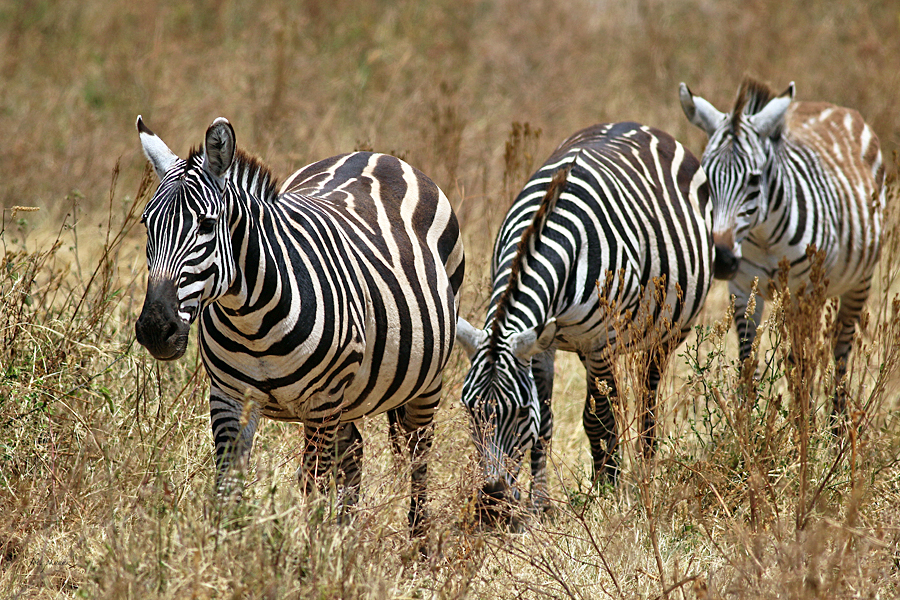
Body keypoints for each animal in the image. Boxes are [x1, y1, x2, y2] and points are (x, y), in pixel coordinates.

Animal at [133, 116, 465, 536]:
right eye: (146, 224)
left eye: (207, 225)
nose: (155, 329)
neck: (250, 320)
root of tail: (375, 154)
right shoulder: (229, 395)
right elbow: (227, 485)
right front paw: (227, 547)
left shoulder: (322, 401)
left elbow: (313, 482)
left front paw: (311, 549)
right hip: (348, 396)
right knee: (355, 451)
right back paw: (346, 535)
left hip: (422, 379)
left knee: (419, 453)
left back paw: (417, 542)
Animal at [455, 122, 714, 515]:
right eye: (471, 411)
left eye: (519, 413)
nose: (492, 502)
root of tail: (637, 125)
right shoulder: (541, 345)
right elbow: (546, 425)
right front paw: (541, 504)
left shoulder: (599, 343)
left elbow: (599, 421)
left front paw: (607, 493)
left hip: (667, 332)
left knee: (647, 399)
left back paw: (645, 470)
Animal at [679, 77, 884, 427]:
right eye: (705, 176)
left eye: (754, 179)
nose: (722, 259)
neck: (764, 237)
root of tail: (831, 106)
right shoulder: (743, 289)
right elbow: (749, 362)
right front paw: (745, 428)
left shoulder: (808, 291)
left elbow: (803, 362)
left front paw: (803, 429)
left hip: (858, 280)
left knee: (839, 347)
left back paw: (836, 426)